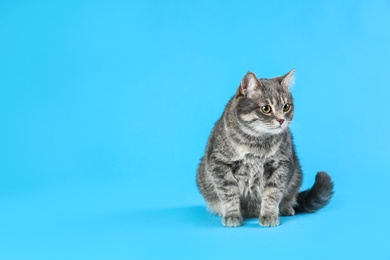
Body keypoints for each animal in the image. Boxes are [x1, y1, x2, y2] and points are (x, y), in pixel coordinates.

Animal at [197, 70, 334, 226]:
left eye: (286, 107)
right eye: (266, 109)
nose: (281, 120)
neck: (257, 142)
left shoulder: (281, 165)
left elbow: (272, 193)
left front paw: (269, 215)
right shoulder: (220, 164)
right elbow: (229, 193)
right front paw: (232, 215)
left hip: (296, 175)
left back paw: (286, 208)